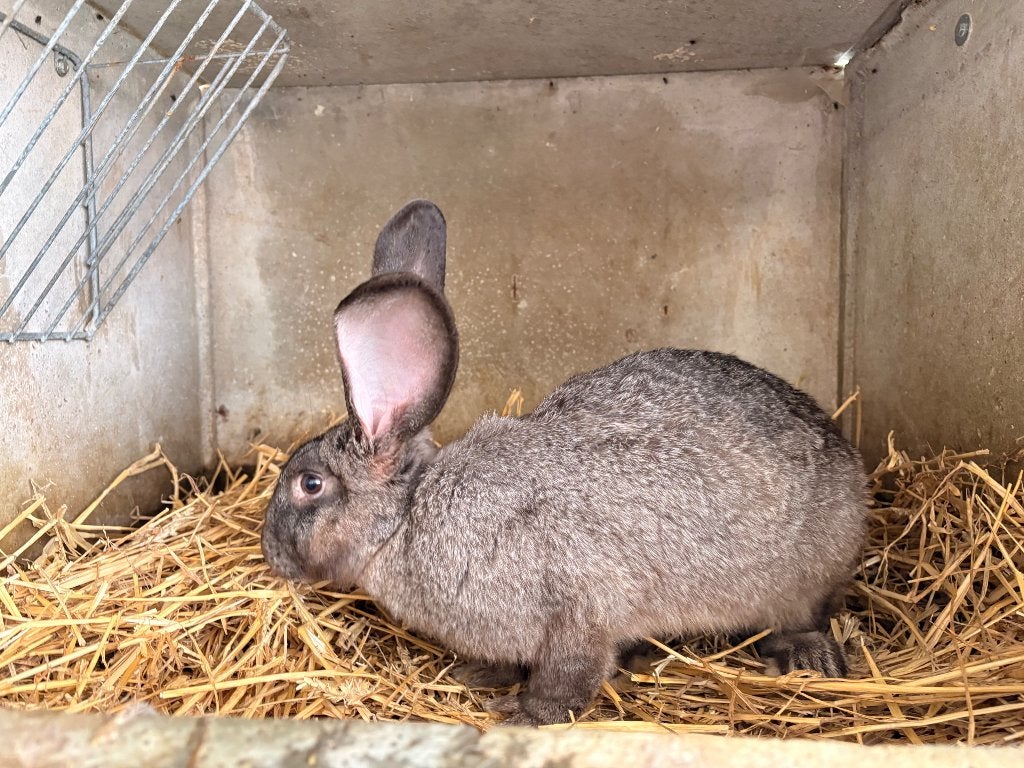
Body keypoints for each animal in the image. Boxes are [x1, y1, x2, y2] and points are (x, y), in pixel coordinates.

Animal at [261, 199, 868, 726]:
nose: (270, 554)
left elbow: (568, 678)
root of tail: (848, 464)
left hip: (800, 578)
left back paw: (807, 655)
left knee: (804, 615)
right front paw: (479, 673)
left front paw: (524, 716)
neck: (409, 514)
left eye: (309, 484)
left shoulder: (578, 613)